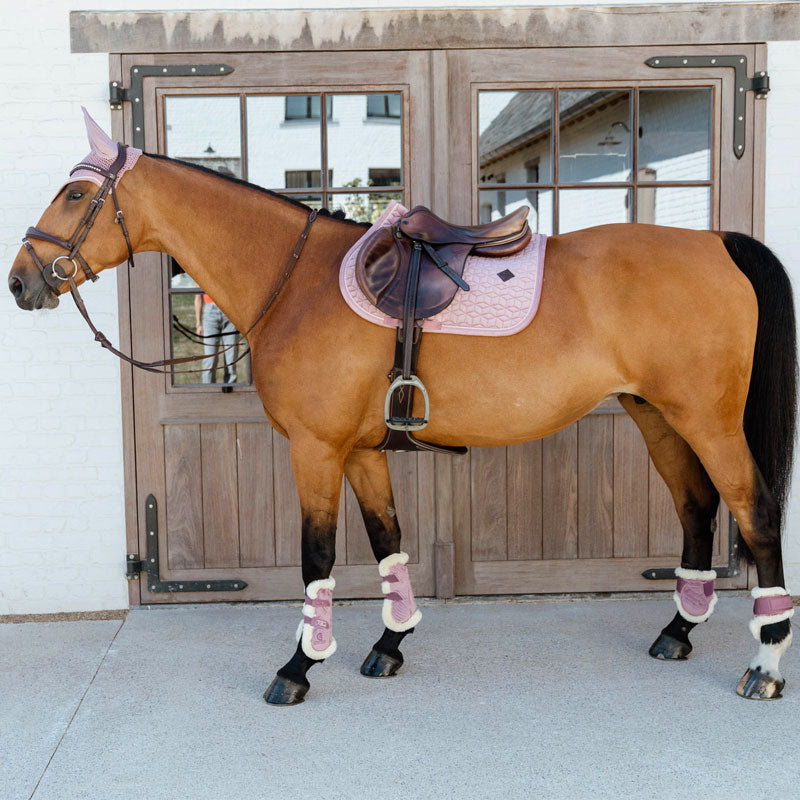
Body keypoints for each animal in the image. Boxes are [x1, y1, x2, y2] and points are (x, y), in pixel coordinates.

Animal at [9, 111, 797, 704]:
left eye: (74, 196)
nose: (20, 281)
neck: (299, 283)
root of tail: (717, 244)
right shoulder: (359, 451)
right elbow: (388, 540)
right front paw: (390, 643)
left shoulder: (315, 449)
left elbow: (318, 555)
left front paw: (299, 667)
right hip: (654, 414)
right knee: (697, 507)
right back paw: (678, 632)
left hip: (707, 422)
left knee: (753, 510)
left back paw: (764, 663)